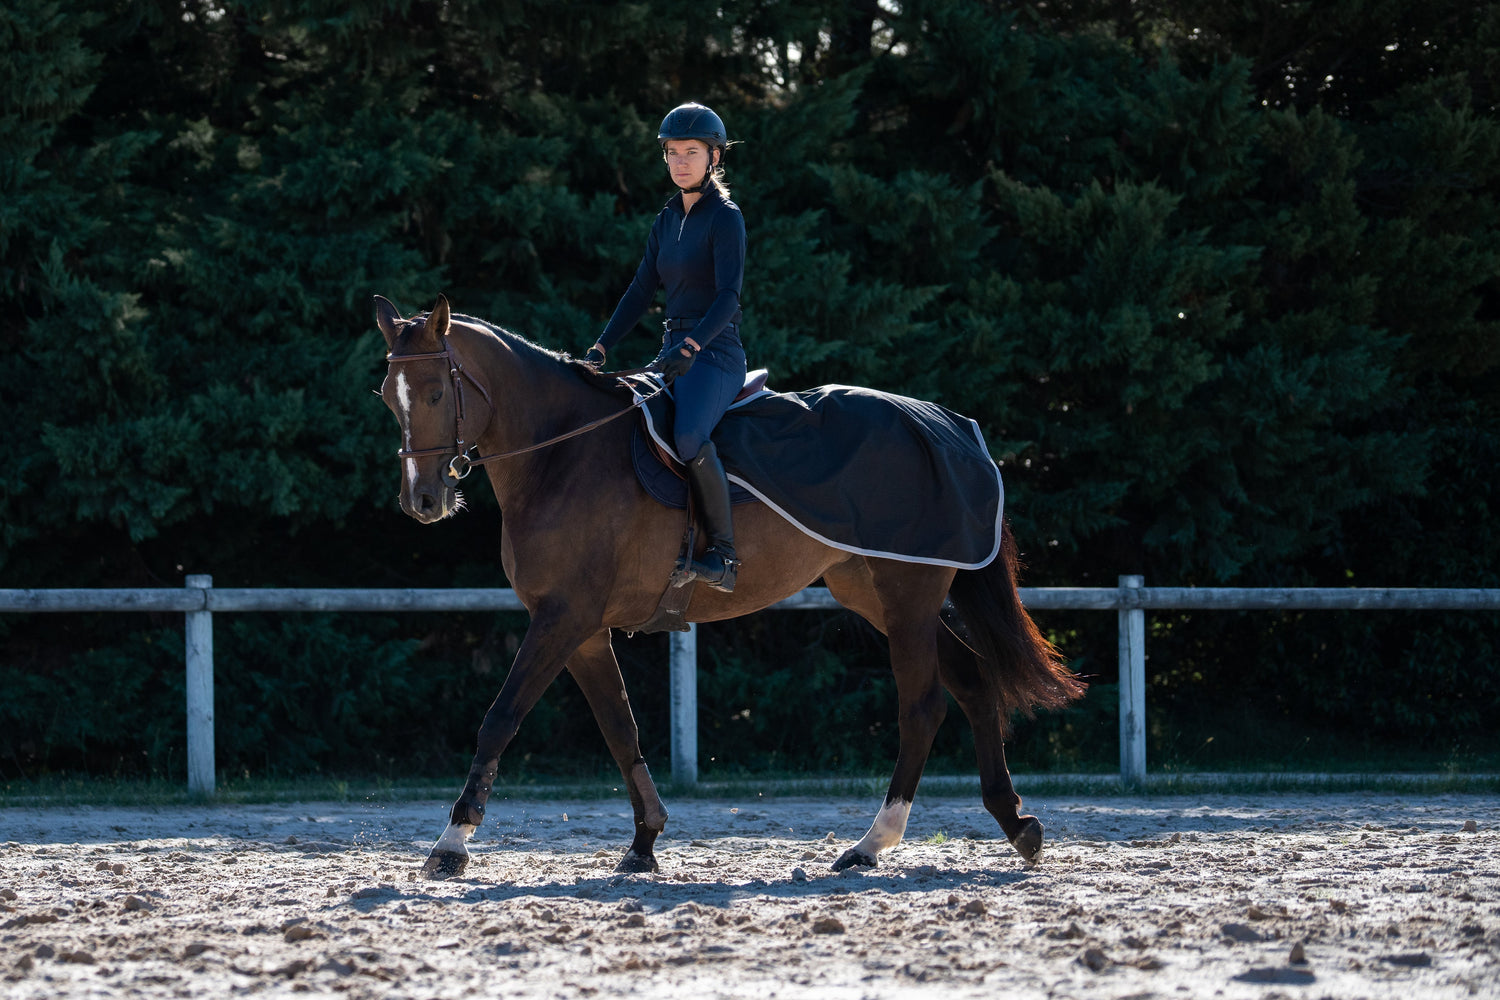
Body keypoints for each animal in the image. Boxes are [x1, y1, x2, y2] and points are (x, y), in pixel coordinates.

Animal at [372, 293, 1080, 881]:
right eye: (388, 395)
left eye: (433, 393)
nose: (423, 501)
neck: (562, 455)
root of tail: (943, 423)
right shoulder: (582, 631)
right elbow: (621, 728)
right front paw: (644, 843)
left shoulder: (561, 619)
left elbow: (501, 717)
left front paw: (451, 844)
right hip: (879, 593)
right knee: (973, 683)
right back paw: (1016, 825)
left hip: (907, 596)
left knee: (924, 704)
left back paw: (872, 844)